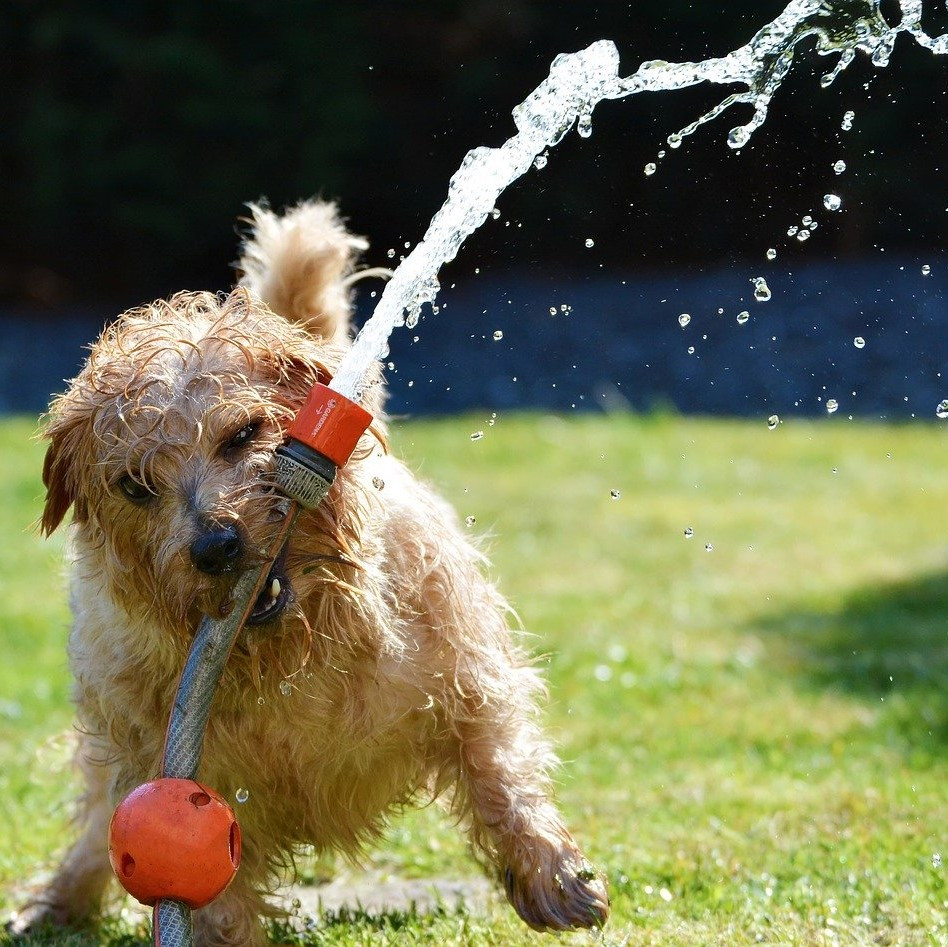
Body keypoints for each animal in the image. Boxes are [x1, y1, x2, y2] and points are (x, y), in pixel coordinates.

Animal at [14, 204, 608, 944]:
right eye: (135, 485)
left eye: (243, 434)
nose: (216, 546)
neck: (293, 654)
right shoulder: (179, 771)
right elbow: (213, 891)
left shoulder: (468, 678)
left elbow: (499, 770)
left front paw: (552, 874)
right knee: (99, 823)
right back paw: (57, 900)